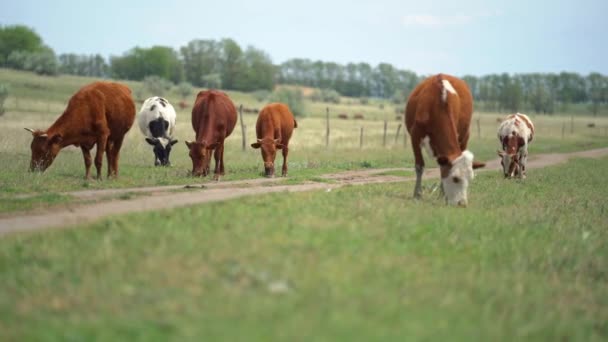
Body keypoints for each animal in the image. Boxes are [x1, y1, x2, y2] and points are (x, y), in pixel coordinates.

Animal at [406, 74, 486, 207]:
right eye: (455, 178)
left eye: (470, 179)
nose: (462, 204)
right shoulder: (415, 135)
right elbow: (419, 166)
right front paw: (417, 194)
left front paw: (443, 195)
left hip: (465, 136)